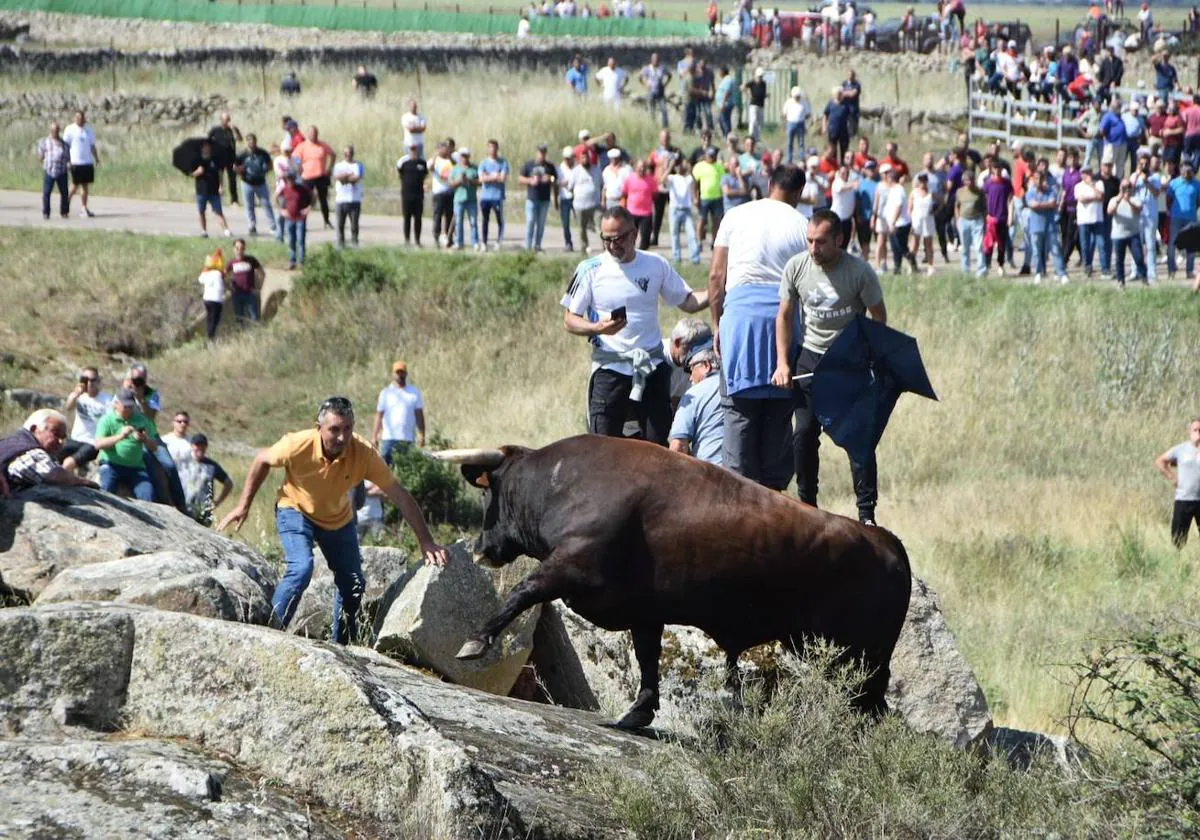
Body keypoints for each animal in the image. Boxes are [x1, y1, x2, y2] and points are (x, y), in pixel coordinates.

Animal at [432, 432, 907, 729]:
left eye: (487, 492)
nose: (482, 548)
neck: (560, 481)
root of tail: (886, 541)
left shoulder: (570, 565)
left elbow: (521, 592)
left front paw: (476, 641)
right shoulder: (644, 611)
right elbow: (647, 659)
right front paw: (638, 713)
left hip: (855, 658)